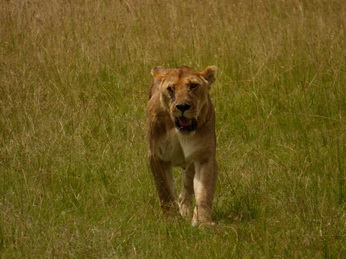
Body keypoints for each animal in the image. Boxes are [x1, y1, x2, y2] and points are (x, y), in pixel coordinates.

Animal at [147, 65, 218, 228]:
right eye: (170, 89)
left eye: (193, 86)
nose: (183, 106)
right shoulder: (157, 157)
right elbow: (165, 192)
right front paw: (172, 222)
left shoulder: (204, 157)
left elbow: (204, 192)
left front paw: (204, 223)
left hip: (190, 165)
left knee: (185, 192)